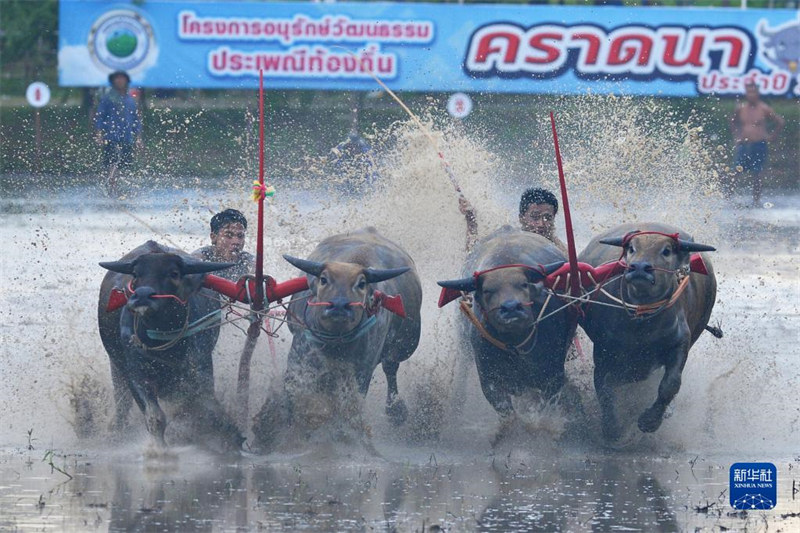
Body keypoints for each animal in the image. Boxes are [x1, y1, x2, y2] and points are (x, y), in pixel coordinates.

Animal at [96, 241, 242, 448]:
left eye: (173, 273)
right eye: (136, 274)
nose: (142, 296)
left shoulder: (200, 367)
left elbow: (207, 406)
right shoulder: (136, 373)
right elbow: (154, 417)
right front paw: (160, 449)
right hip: (116, 366)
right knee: (122, 401)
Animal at [255, 228, 424, 444]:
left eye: (361, 283)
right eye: (324, 279)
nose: (339, 306)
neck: (336, 342)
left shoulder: (362, 369)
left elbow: (348, 404)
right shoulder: (300, 360)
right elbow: (295, 393)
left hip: (405, 346)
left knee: (391, 368)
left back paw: (396, 411)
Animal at [438, 224, 568, 420]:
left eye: (523, 284)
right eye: (487, 290)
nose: (511, 308)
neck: (515, 343)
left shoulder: (552, 373)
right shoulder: (489, 378)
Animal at [576, 222, 720, 442]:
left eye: (666, 251)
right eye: (631, 248)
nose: (639, 268)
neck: (642, 323)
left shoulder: (680, 344)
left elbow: (671, 384)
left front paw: (650, 421)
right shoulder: (604, 351)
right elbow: (604, 387)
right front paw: (611, 428)